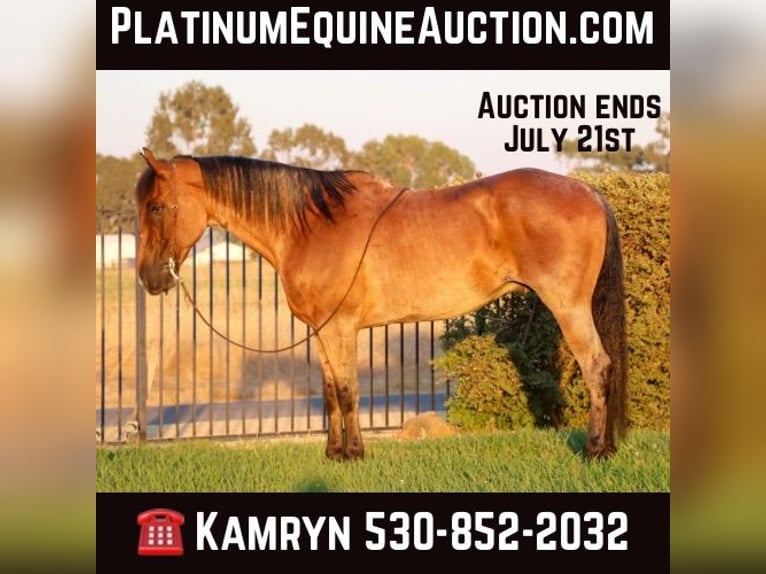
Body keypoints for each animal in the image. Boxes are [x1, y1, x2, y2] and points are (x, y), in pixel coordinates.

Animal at [135, 148, 627, 460]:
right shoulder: (323, 330)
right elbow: (330, 391)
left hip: (569, 307)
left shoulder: (340, 329)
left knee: (597, 367)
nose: (148, 277)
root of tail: (587, 191)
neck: (308, 226)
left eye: (156, 207)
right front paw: (334, 453)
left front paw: (353, 453)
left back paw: (595, 450)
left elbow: (347, 390)